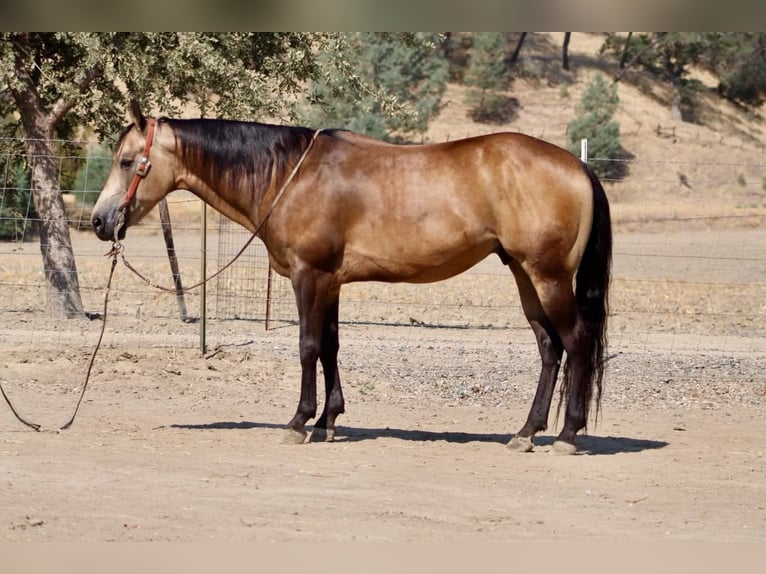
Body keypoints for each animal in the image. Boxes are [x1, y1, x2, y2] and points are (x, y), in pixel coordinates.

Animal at [91, 101, 611, 454]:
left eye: (126, 161)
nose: (99, 222)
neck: (290, 175)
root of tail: (577, 165)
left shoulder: (309, 276)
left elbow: (307, 347)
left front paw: (299, 422)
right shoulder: (331, 282)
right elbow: (331, 348)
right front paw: (328, 420)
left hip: (548, 276)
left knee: (577, 343)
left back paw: (568, 434)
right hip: (525, 274)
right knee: (549, 348)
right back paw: (526, 432)